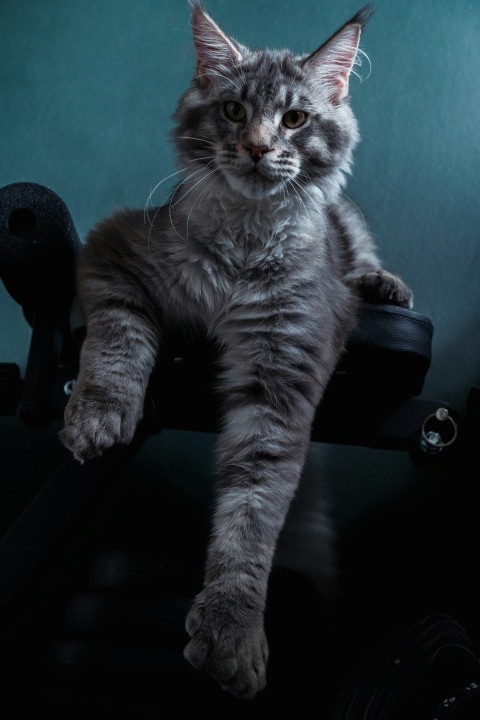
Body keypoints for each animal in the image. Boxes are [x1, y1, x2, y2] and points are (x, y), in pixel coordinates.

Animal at [59, 0, 412, 696]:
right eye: (232, 111)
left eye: (295, 119)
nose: (255, 148)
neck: (244, 248)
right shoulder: (116, 251)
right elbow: (117, 340)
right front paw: (99, 413)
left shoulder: (282, 373)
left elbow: (252, 515)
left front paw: (232, 631)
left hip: (349, 232)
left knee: (364, 262)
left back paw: (383, 284)